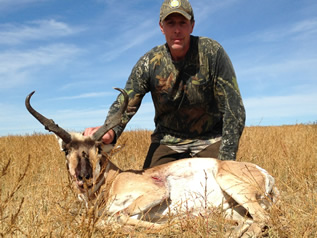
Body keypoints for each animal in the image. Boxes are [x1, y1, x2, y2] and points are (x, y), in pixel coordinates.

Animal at [25, 88, 278, 237]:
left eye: (97, 148)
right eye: (66, 150)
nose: (83, 177)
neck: (115, 179)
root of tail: (266, 176)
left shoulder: (157, 192)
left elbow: (117, 218)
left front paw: (176, 225)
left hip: (234, 188)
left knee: (263, 219)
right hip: (232, 210)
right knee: (248, 221)